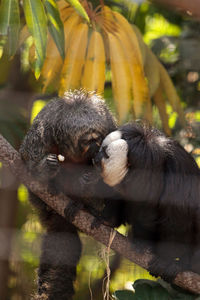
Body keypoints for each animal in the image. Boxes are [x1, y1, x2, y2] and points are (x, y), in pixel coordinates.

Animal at [19, 90, 122, 298]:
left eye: (98, 139)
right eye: (87, 140)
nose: (96, 147)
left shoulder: (109, 126)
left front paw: (90, 180)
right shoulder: (44, 126)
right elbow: (27, 156)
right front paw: (44, 168)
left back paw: (87, 206)